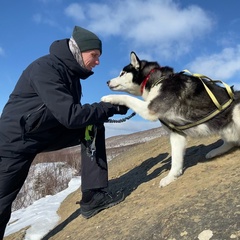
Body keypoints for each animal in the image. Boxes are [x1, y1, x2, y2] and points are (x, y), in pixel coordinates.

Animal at [101, 51, 240, 188]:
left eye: (122, 73)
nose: (107, 81)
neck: (155, 80)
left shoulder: (149, 109)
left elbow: (126, 97)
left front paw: (109, 98)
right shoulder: (176, 134)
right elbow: (176, 160)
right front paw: (171, 177)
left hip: (236, 112)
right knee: (232, 142)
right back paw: (215, 151)